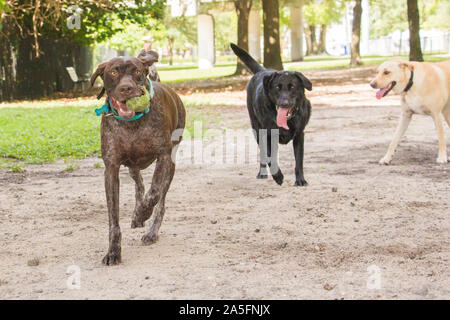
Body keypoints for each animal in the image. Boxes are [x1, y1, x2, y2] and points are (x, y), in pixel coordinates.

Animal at [230, 43, 312, 186]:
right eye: (277, 87)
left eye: (292, 87)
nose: (284, 103)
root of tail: (262, 71)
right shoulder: (268, 134)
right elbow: (269, 157)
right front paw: (278, 176)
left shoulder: (299, 135)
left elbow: (299, 161)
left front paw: (300, 180)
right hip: (256, 128)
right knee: (263, 153)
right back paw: (263, 173)